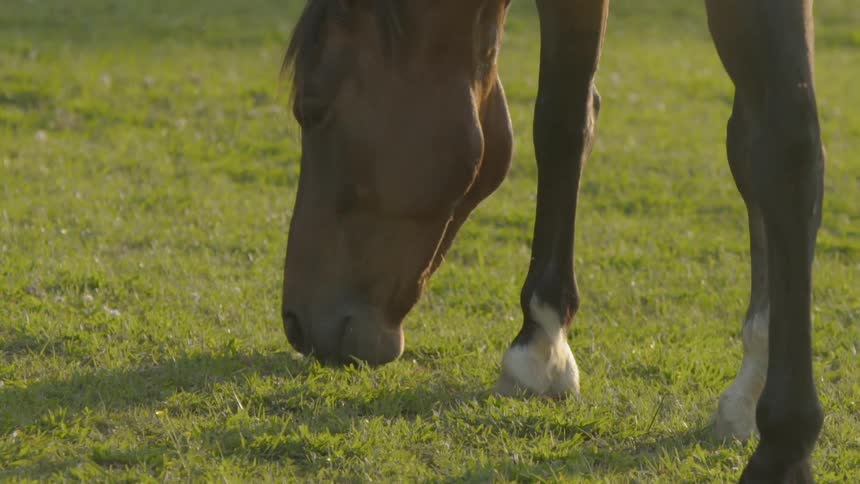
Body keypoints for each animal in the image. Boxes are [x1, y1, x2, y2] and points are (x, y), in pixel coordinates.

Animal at [279, 1, 826, 481]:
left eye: (311, 107)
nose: (296, 325)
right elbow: (749, 146)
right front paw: (753, 377)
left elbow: (563, 118)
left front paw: (540, 342)